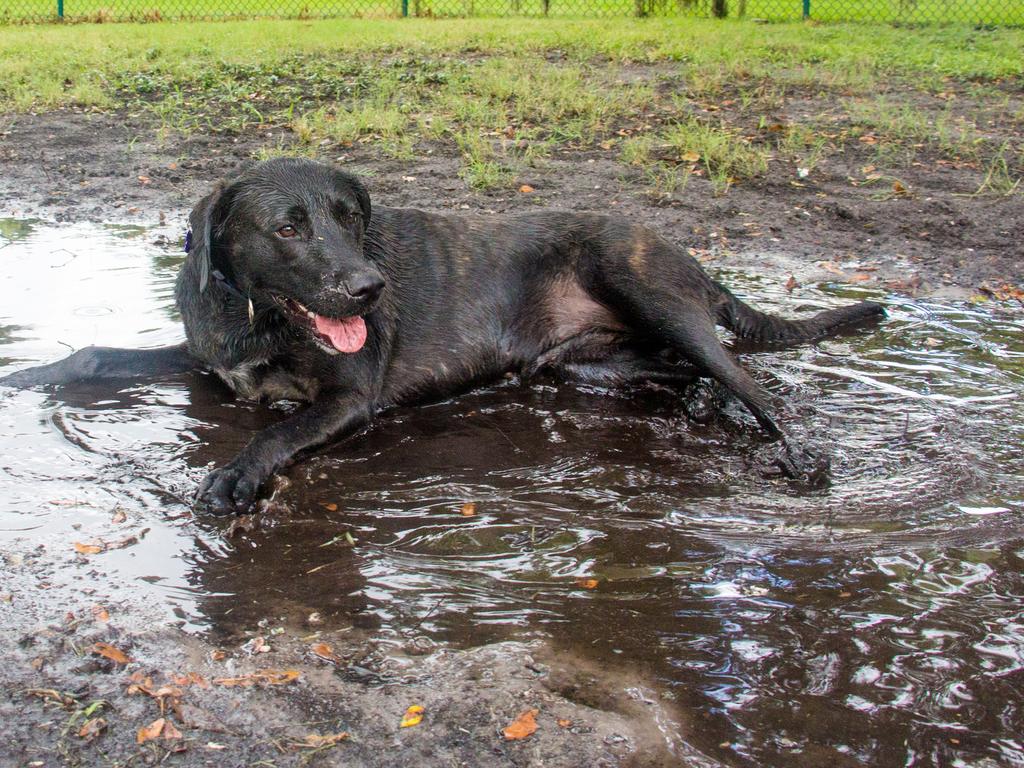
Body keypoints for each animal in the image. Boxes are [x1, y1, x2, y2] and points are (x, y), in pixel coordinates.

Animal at [0, 158, 884, 514]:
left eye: (353, 217)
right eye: (289, 227)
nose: (369, 287)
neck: (261, 317)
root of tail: (691, 258)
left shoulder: (350, 399)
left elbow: (277, 431)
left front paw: (236, 475)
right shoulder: (204, 360)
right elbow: (97, 356)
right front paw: (26, 377)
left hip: (645, 289)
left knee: (748, 381)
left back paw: (798, 458)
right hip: (577, 365)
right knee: (683, 374)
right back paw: (698, 410)